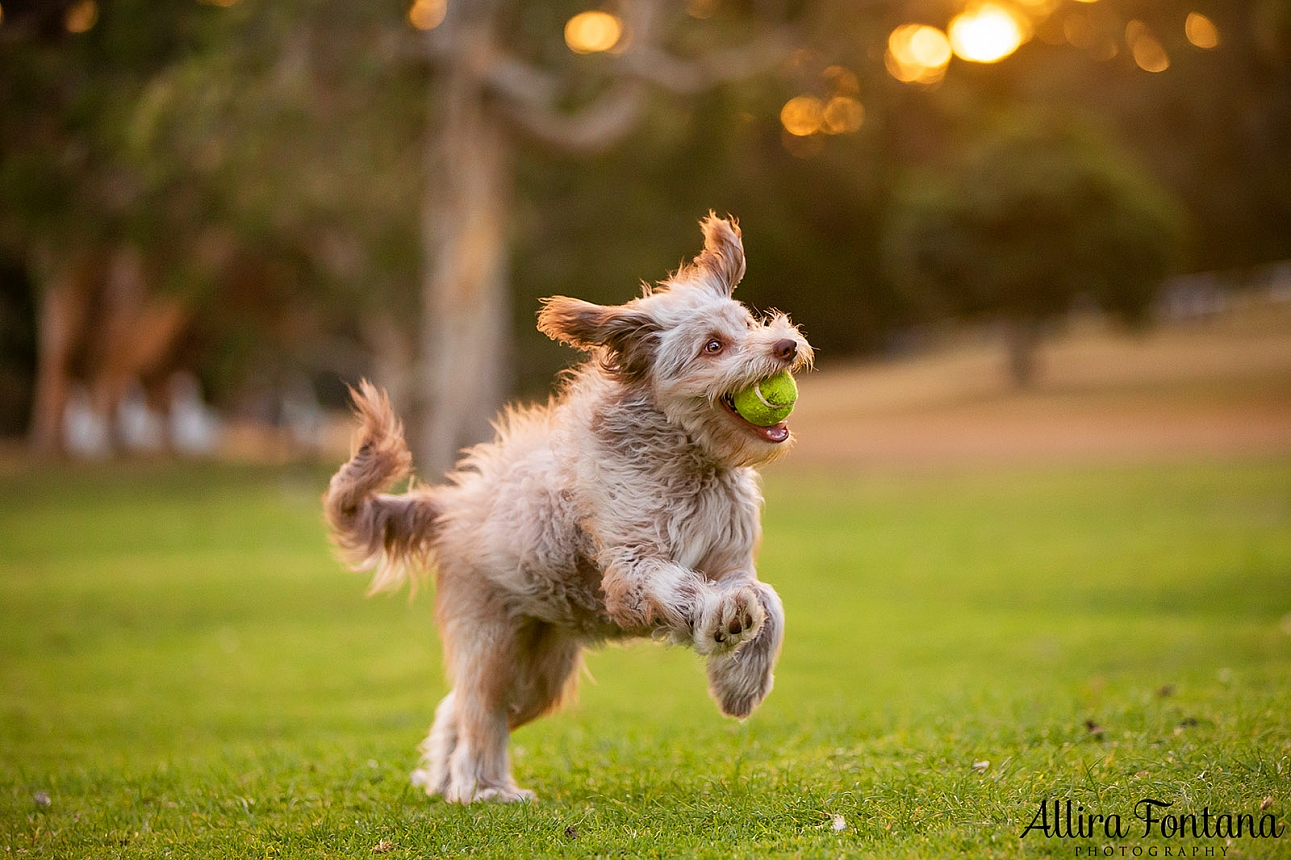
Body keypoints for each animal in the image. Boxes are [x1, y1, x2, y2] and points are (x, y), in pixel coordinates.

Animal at [325, 214, 805, 805]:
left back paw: (444, 777)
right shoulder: (631, 565)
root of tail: (452, 502)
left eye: (748, 322)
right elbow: (683, 587)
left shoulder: (732, 556)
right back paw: (482, 789)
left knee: (458, 710)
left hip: (539, 673)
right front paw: (722, 620)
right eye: (713, 345)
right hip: (492, 643)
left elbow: (767, 599)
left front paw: (741, 685)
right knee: (480, 711)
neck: (690, 460)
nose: (786, 345)